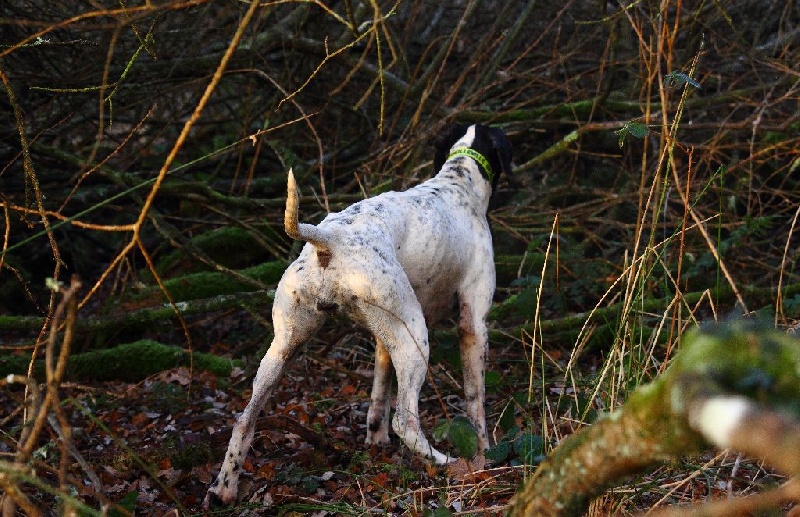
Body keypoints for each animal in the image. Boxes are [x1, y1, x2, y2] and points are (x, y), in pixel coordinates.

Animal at [204, 124, 512, 507]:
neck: (458, 183)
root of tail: (329, 239)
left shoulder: (383, 337)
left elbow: (379, 390)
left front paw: (374, 440)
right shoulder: (473, 324)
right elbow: (475, 399)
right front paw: (484, 451)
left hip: (284, 347)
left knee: (245, 418)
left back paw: (225, 487)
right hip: (414, 337)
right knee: (407, 422)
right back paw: (445, 463)